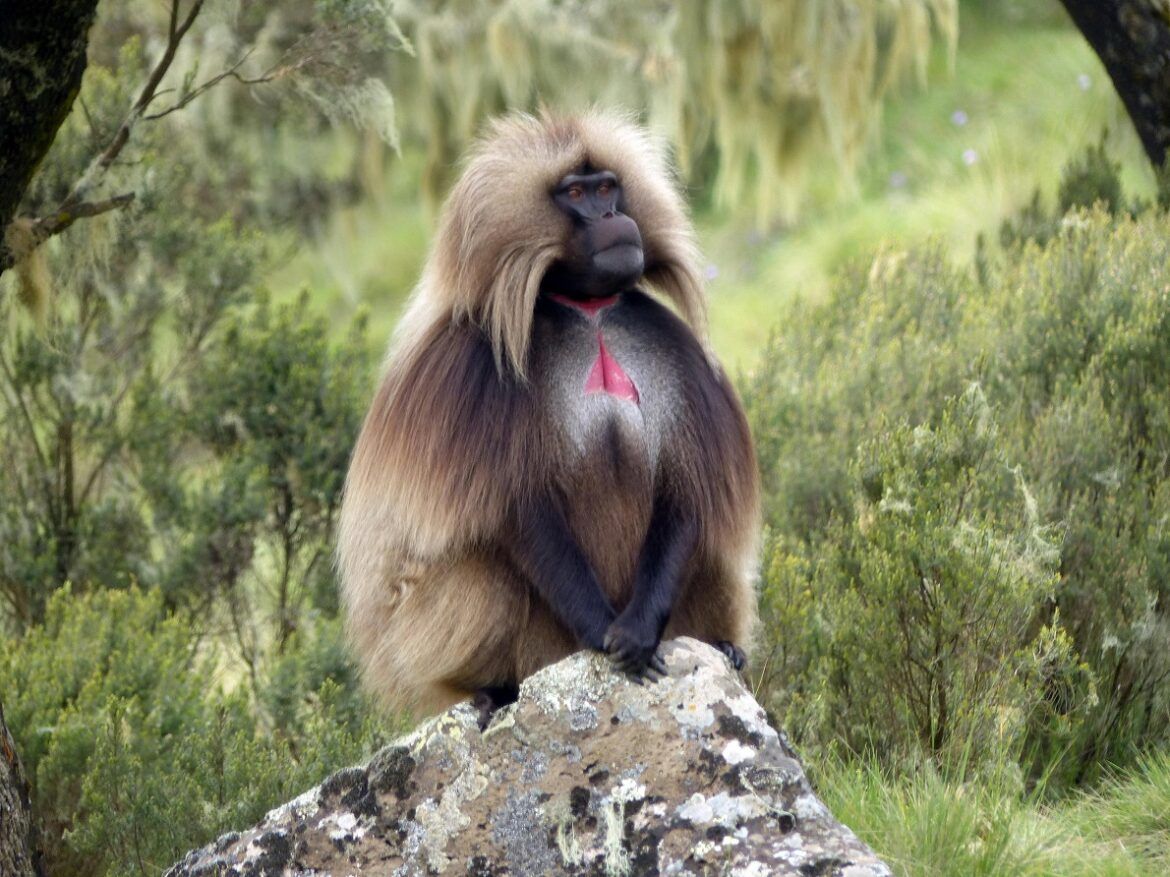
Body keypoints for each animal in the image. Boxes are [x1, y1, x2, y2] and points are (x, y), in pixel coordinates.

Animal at [337, 110, 760, 727]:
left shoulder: (676, 355)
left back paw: (724, 646)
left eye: (607, 187)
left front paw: (639, 634)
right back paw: (491, 689)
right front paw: (609, 636)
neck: (590, 312)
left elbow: (686, 494)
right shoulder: (473, 366)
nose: (611, 217)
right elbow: (517, 510)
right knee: (482, 574)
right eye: (576, 195)